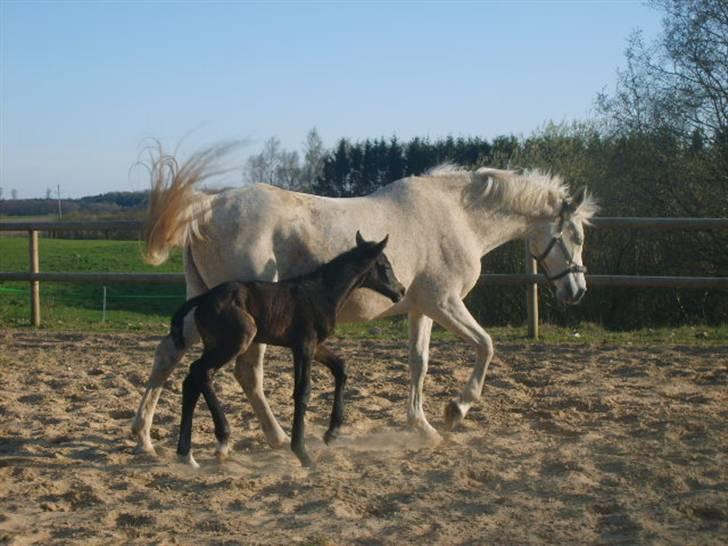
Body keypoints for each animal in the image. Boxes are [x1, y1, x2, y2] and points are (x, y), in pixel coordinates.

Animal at [132, 147, 596, 452]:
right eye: (575, 235)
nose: (577, 291)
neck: (457, 217)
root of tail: (209, 207)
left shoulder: (422, 309)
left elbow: (418, 363)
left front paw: (421, 425)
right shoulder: (445, 303)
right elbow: (486, 346)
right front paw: (456, 410)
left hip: (205, 306)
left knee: (169, 352)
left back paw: (144, 438)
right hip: (245, 321)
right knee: (246, 373)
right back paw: (278, 438)